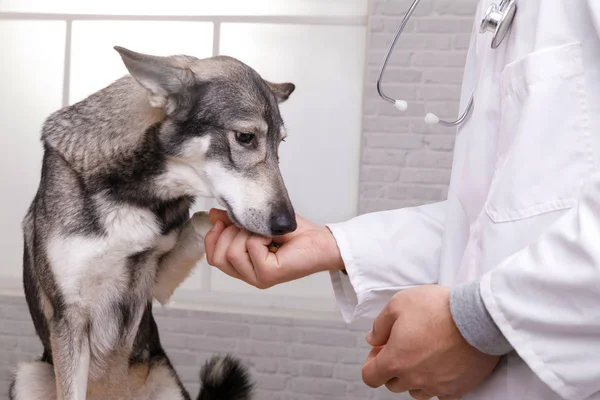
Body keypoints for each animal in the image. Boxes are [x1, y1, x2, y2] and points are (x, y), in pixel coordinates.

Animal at [9, 47, 298, 400]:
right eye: (245, 137)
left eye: (280, 144)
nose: (288, 225)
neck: (131, 195)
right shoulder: (70, 316)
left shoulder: (156, 285)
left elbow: (201, 219)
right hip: (28, 375)